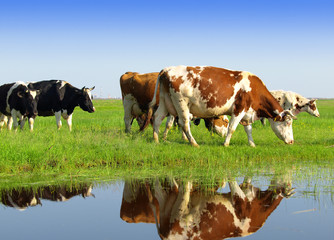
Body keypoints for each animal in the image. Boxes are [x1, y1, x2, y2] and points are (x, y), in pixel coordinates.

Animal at [145, 64, 296, 146]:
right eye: (288, 123)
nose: (292, 141)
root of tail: (167, 69)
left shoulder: (247, 113)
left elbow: (248, 129)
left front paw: (252, 144)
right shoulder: (239, 109)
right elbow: (232, 128)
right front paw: (226, 144)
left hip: (165, 101)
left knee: (157, 118)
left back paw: (157, 140)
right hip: (181, 103)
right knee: (184, 123)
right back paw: (193, 143)